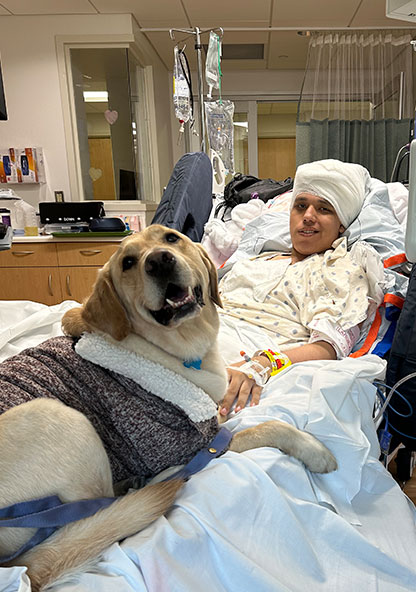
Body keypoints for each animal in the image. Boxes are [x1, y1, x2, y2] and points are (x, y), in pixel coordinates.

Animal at [0, 224, 334, 588]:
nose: (159, 261)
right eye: (128, 262)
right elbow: (270, 426)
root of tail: (14, 567)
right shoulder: (197, 445)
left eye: (171, 238)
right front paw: (316, 451)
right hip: (60, 416)